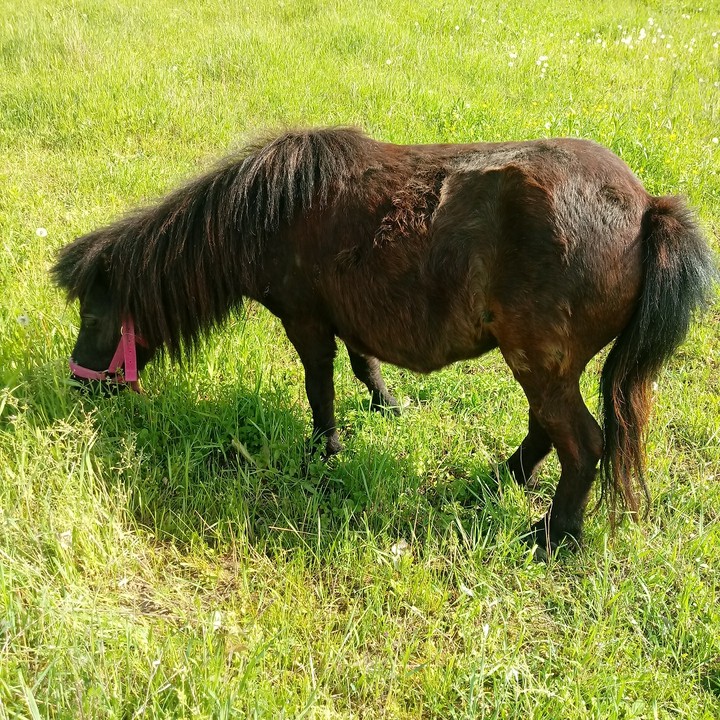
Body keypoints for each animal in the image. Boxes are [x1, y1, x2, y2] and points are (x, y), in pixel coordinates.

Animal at [52, 127, 715, 556]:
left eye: (94, 318)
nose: (79, 387)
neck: (268, 210)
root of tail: (648, 209)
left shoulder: (307, 320)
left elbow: (320, 387)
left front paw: (324, 451)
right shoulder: (350, 317)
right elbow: (364, 365)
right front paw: (387, 407)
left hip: (540, 361)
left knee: (582, 444)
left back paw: (555, 535)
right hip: (545, 366)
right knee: (548, 432)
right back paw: (498, 481)